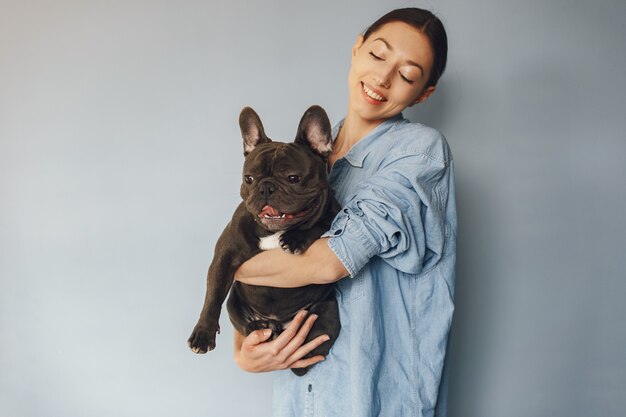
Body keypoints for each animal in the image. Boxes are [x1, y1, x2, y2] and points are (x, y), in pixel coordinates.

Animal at [188, 105, 338, 376]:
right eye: (249, 178)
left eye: (293, 178)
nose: (266, 187)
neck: (272, 232)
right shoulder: (224, 256)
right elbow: (212, 294)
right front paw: (203, 333)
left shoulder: (335, 209)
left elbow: (320, 221)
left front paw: (295, 238)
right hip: (234, 303)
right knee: (245, 326)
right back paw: (261, 327)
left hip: (328, 312)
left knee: (301, 363)